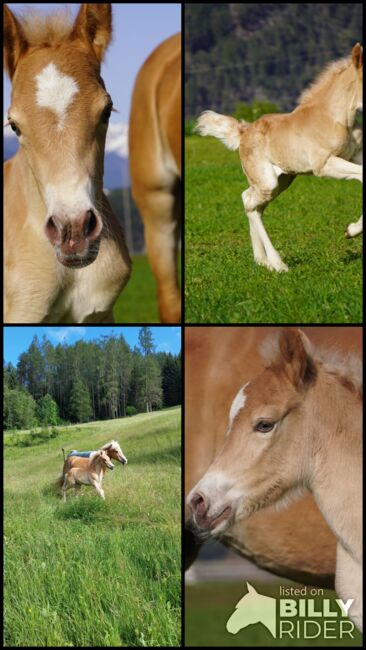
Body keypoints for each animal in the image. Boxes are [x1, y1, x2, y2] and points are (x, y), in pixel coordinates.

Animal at [196, 43, 362, 270]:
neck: (336, 117)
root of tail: (243, 132)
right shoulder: (324, 164)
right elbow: (361, 175)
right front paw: (351, 230)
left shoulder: (355, 155)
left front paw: (351, 230)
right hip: (268, 182)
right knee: (250, 203)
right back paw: (277, 264)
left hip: (281, 180)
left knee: (250, 202)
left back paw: (261, 260)